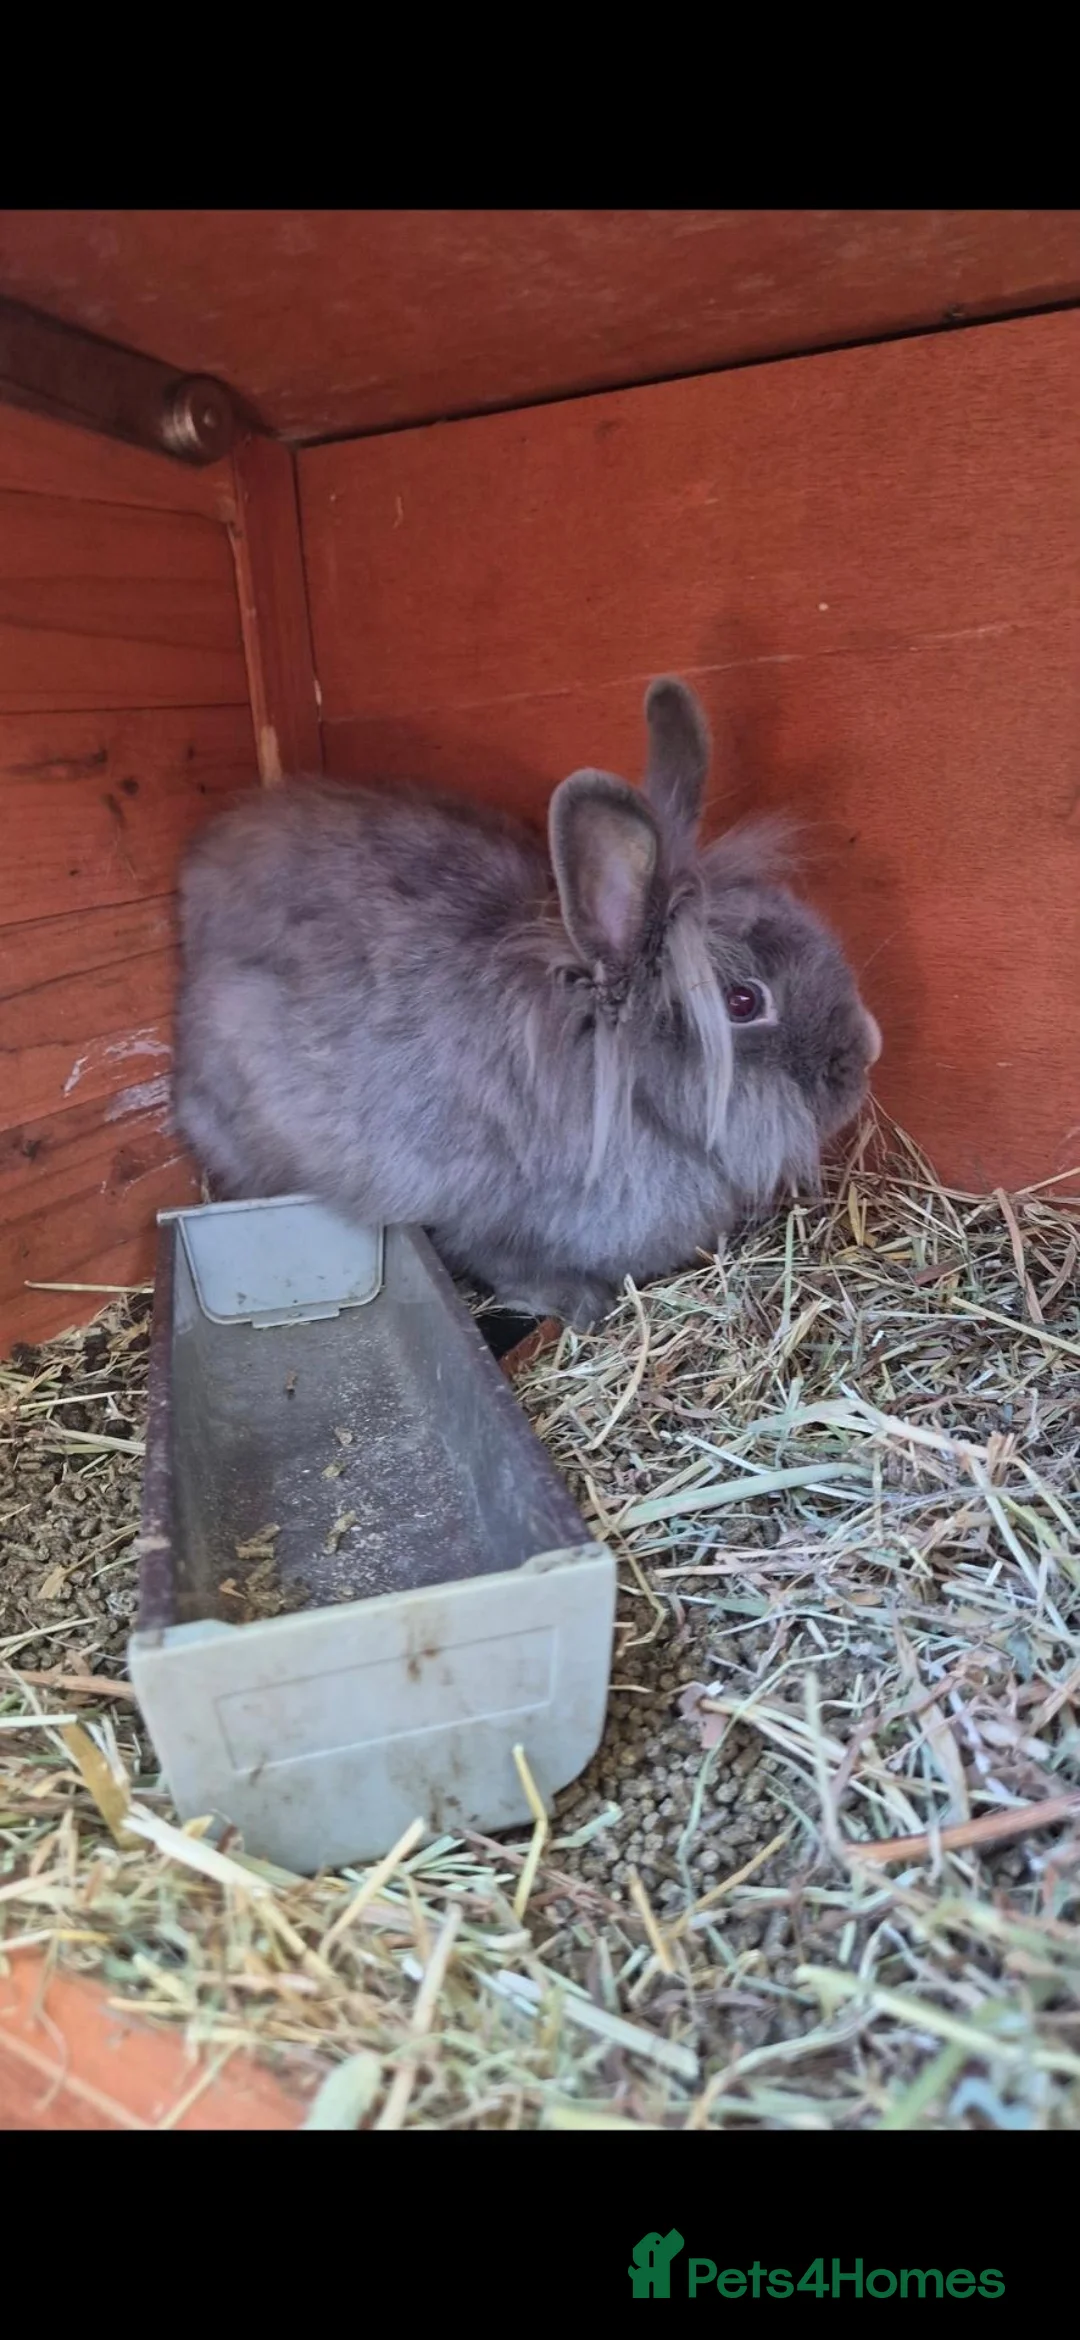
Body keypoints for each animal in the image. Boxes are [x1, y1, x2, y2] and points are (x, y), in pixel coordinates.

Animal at [173, 676, 882, 1330]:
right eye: (742, 1001)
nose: (866, 1054)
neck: (616, 1083)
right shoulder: (482, 1214)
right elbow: (503, 1260)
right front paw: (578, 1304)